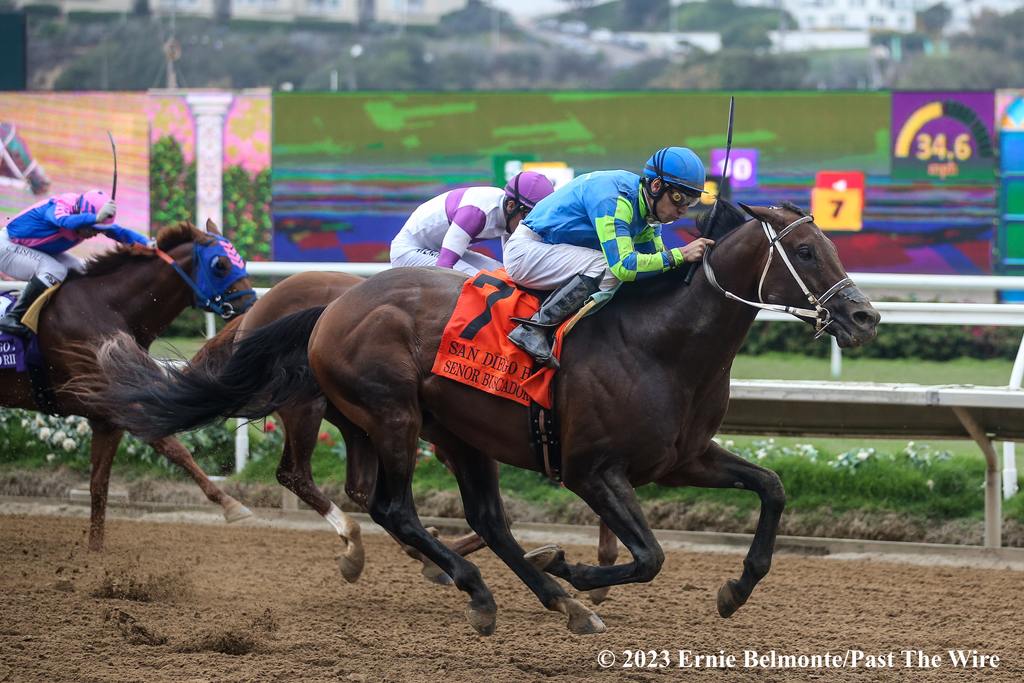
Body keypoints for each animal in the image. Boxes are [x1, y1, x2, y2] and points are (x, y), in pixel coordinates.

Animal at [2, 222, 256, 552]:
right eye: (221, 264)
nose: (252, 305)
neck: (106, 308)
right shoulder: (120, 403)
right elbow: (175, 448)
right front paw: (231, 505)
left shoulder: (107, 416)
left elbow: (99, 485)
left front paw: (96, 549)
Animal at [90, 202, 880, 634]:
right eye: (805, 250)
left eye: (830, 244)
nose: (866, 317)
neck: (662, 342)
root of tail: (332, 307)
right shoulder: (593, 470)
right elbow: (650, 556)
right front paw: (575, 565)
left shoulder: (682, 457)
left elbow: (771, 487)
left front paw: (735, 588)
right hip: (394, 415)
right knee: (391, 505)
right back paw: (487, 589)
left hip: (459, 432)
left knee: (483, 518)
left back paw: (554, 598)